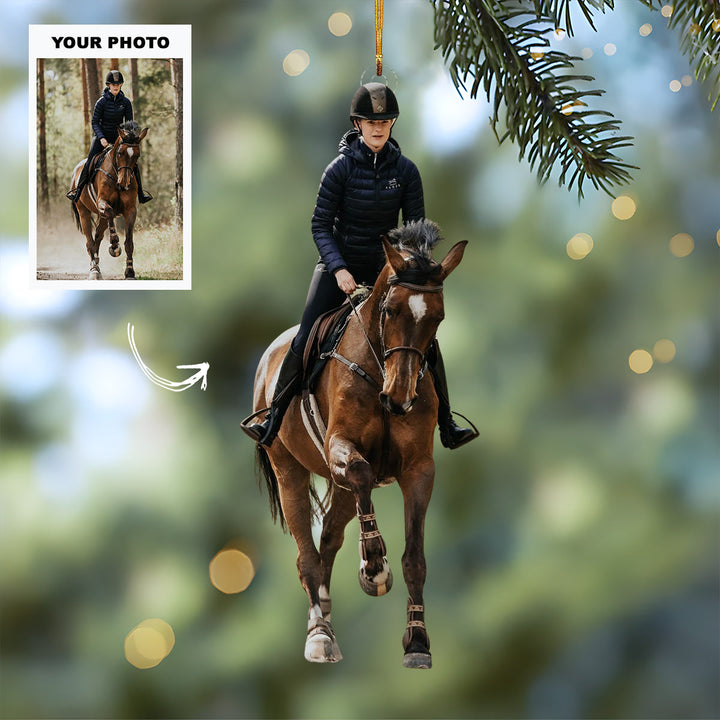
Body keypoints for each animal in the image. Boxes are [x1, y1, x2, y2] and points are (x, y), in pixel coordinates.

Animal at [68, 121, 148, 280]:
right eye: (120, 153)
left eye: (137, 155)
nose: (124, 183)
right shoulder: (102, 203)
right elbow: (110, 211)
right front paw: (114, 245)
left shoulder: (130, 210)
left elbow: (129, 242)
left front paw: (130, 271)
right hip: (83, 211)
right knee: (89, 241)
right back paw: (94, 270)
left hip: (102, 218)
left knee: (97, 237)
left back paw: (97, 263)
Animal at [248, 219, 467, 668]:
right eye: (390, 309)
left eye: (438, 317)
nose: (399, 397)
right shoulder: (341, 446)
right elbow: (363, 469)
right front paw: (375, 567)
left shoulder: (419, 469)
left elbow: (415, 559)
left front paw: (417, 643)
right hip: (288, 469)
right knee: (307, 556)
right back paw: (319, 637)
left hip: (342, 490)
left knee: (329, 540)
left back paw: (327, 622)